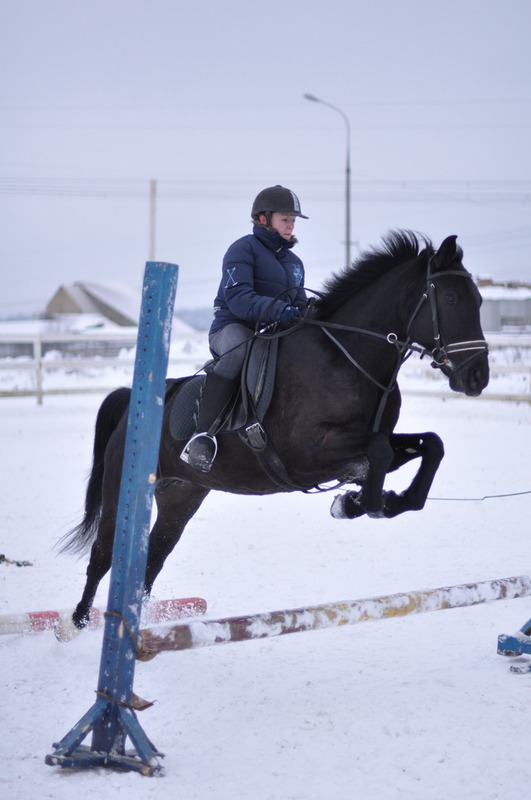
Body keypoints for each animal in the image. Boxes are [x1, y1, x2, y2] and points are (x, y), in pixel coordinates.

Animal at [61, 228, 490, 628]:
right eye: (450, 299)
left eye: (480, 300)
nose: (477, 377)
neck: (347, 357)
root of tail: (132, 406)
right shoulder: (311, 451)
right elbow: (381, 456)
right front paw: (357, 504)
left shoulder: (364, 444)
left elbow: (429, 446)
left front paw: (375, 501)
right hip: (122, 492)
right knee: (101, 557)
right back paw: (78, 626)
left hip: (180, 497)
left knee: (152, 560)